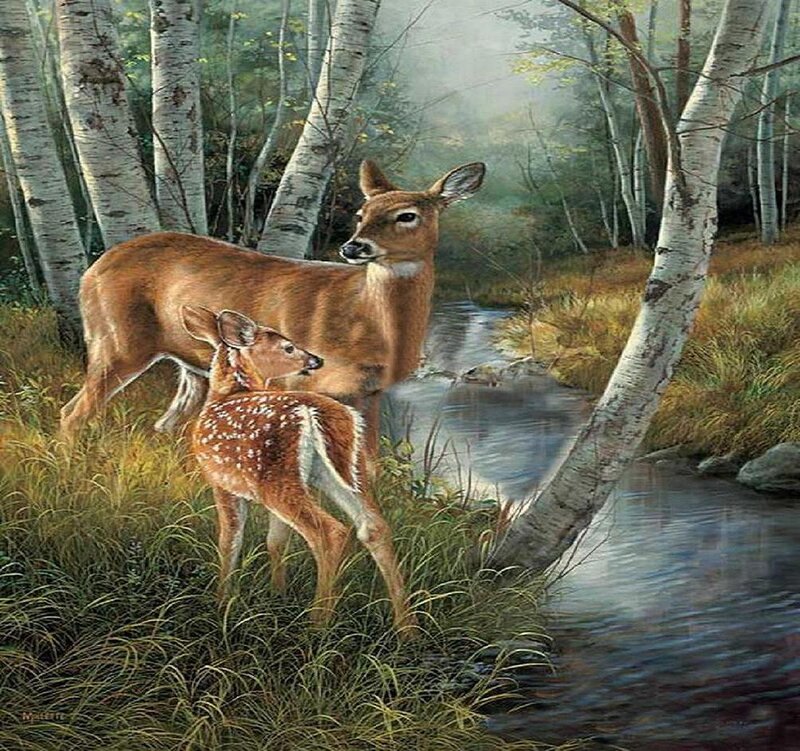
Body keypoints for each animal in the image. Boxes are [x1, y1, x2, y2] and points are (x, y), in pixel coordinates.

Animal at [59, 160, 486, 452]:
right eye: (361, 215)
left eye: (407, 216)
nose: (353, 247)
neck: (366, 319)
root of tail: (91, 271)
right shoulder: (297, 384)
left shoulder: (369, 393)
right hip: (116, 341)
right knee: (73, 411)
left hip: (190, 364)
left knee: (165, 423)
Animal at [182, 304, 416, 632]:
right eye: (288, 347)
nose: (316, 360)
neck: (227, 393)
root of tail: (316, 412)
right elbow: (275, 541)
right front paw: (277, 593)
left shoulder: (221, 481)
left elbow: (230, 540)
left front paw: (221, 601)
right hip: (342, 471)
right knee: (373, 527)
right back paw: (407, 628)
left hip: (276, 477)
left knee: (330, 532)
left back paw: (317, 624)